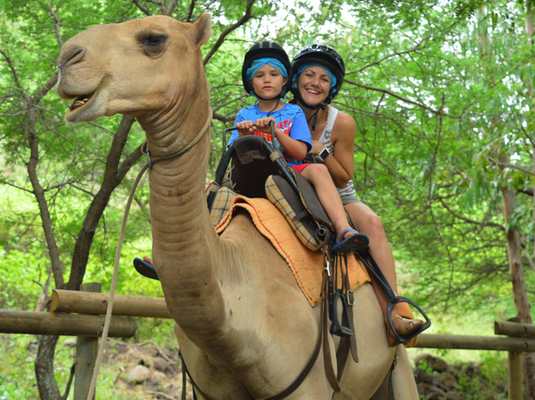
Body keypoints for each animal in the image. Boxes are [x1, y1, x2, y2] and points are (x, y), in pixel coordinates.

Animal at [56, 14, 420, 398]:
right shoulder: (209, 390)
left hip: (396, 365)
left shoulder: (310, 385)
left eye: (154, 39)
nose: (67, 58)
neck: (234, 331)